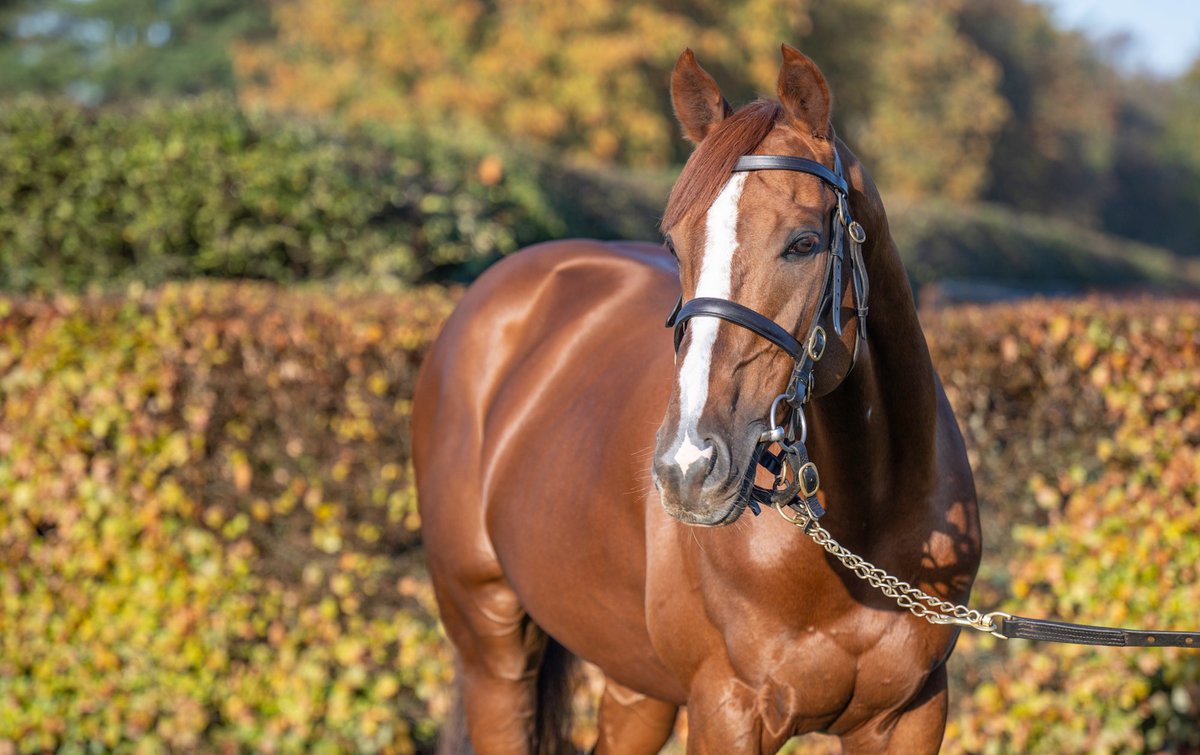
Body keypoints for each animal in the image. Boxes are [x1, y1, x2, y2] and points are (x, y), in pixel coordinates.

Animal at [412, 44, 982, 754]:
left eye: (805, 242)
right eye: (675, 243)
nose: (688, 467)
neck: (863, 526)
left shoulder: (911, 716)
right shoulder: (726, 709)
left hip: (636, 681)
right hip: (492, 647)